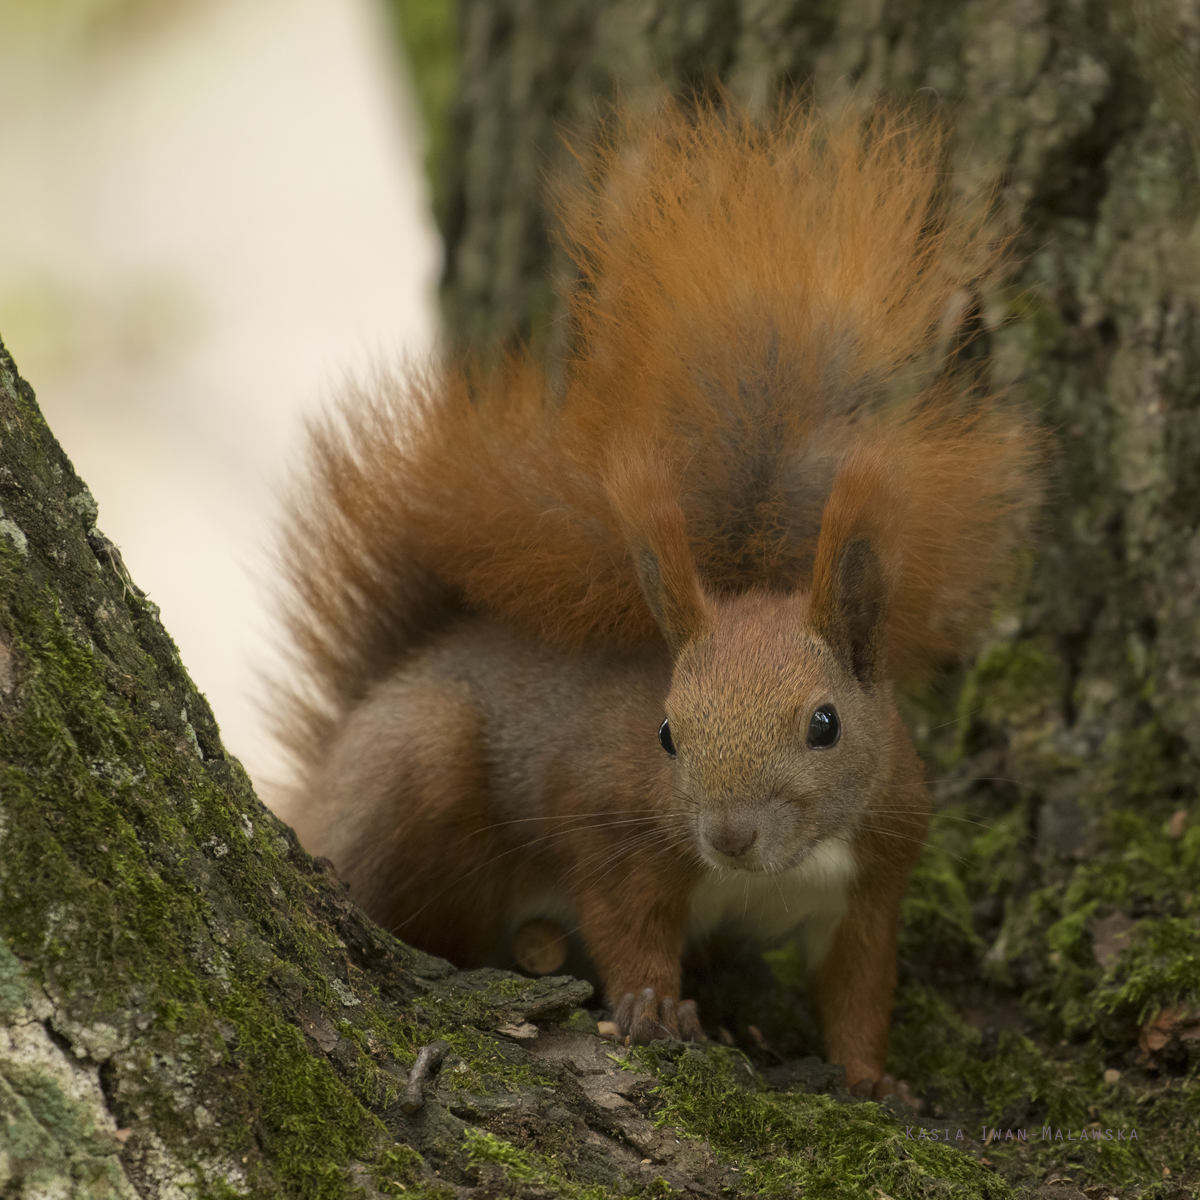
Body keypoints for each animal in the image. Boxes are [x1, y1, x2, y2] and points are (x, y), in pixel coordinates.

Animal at [267, 103, 1036, 1099]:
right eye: (665, 732)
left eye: (826, 724)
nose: (731, 836)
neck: (775, 867)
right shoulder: (607, 819)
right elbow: (626, 923)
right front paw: (652, 1009)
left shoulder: (874, 877)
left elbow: (862, 986)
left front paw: (870, 1077)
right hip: (417, 765)